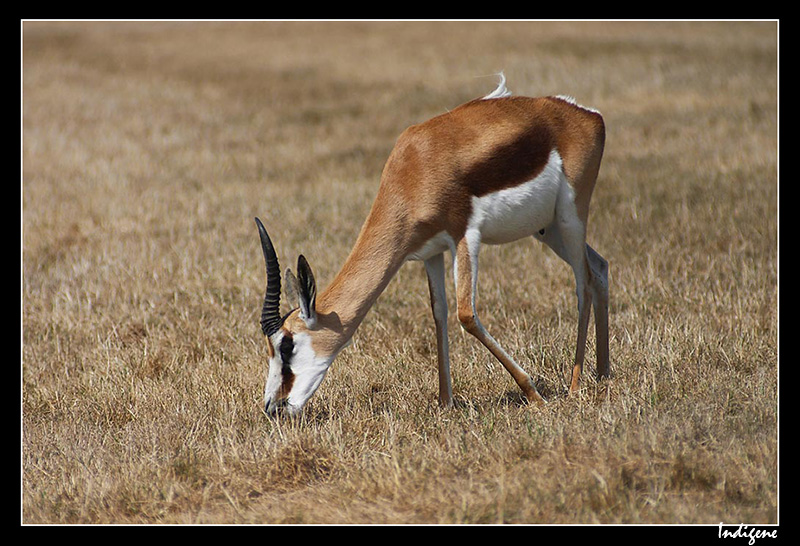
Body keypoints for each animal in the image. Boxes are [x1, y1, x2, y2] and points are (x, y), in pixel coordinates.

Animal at [253, 74, 608, 414]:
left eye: (286, 345)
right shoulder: (431, 252)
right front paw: (445, 402)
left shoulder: (465, 236)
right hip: (548, 230)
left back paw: (576, 386)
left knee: (584, 282)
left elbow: (466, 314)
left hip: (571, 217)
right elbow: (439, 312)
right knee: (601, 267)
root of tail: (588, 115)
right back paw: (603, 375)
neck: (414, 168)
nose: (273, 407)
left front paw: (534, 395)